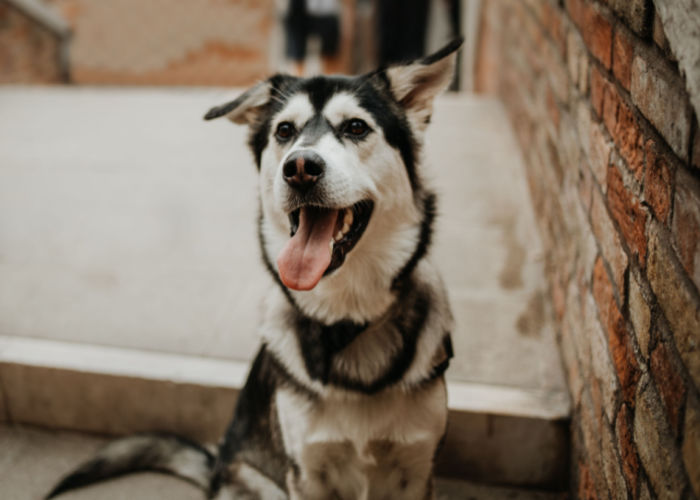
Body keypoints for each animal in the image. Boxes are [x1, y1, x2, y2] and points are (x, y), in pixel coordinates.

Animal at [50, 40, 464, 500]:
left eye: (356, 127)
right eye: (284, 131)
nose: (300, 167)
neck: (346, 321)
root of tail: (217, 467)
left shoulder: (417, 469)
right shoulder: (307, 473)